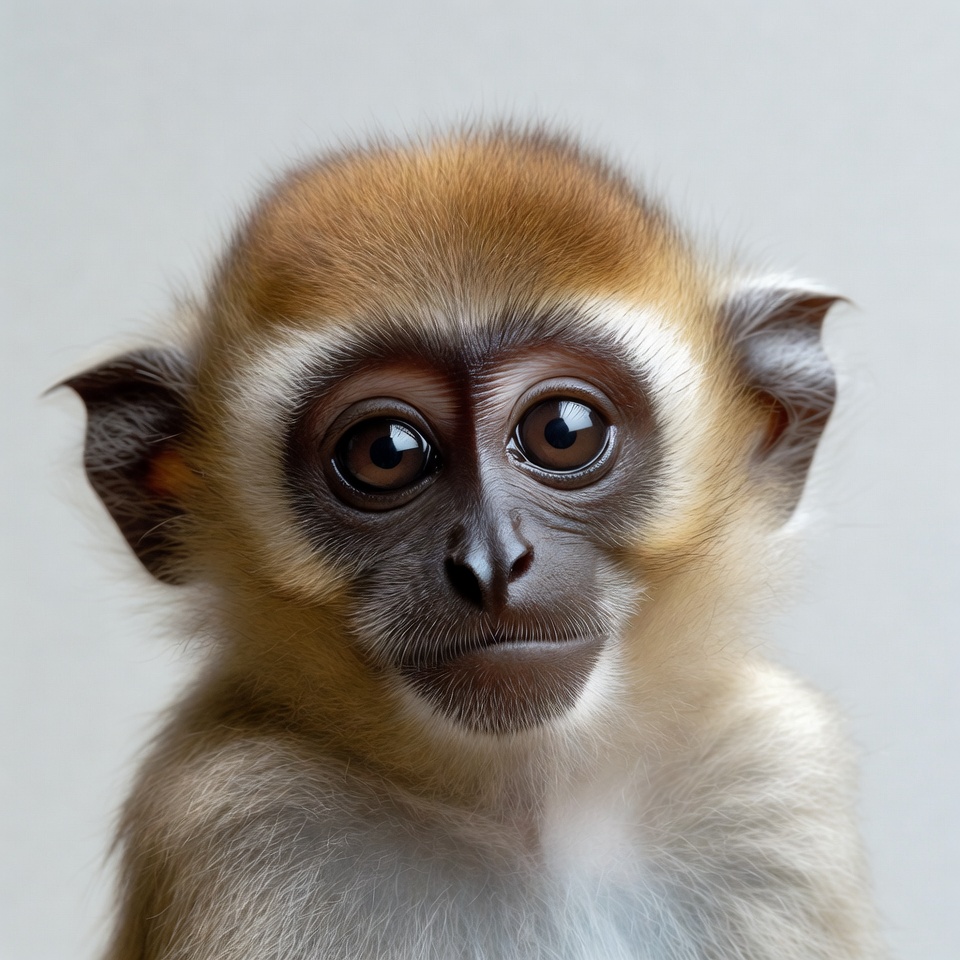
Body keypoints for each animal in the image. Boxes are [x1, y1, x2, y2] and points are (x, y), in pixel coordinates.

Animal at [67, 127, 885, 960]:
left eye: (562, 431)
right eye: (385, 452)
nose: (492, 562)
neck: (533, 817)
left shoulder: (772, 774)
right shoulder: (234, 814)